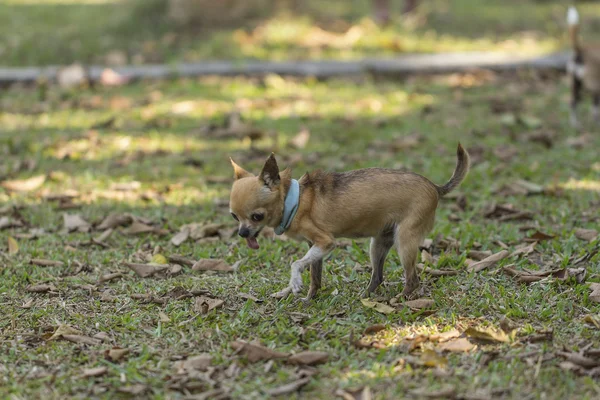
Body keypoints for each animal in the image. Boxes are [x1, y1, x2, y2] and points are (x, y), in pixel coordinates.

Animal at [230, 144, 468, 300]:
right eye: (234, 217)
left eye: (257, 216)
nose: (242, 233)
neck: (295, 199)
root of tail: (435, 187)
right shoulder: (315, 246)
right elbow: (314, 275)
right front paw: (307, 297)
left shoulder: (326, 242)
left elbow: (296, 263)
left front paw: (295, 283)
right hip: (379, 243)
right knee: (378, 275)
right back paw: (366, 295)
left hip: (405, 242)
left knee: (412, 278)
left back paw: (401, 297)